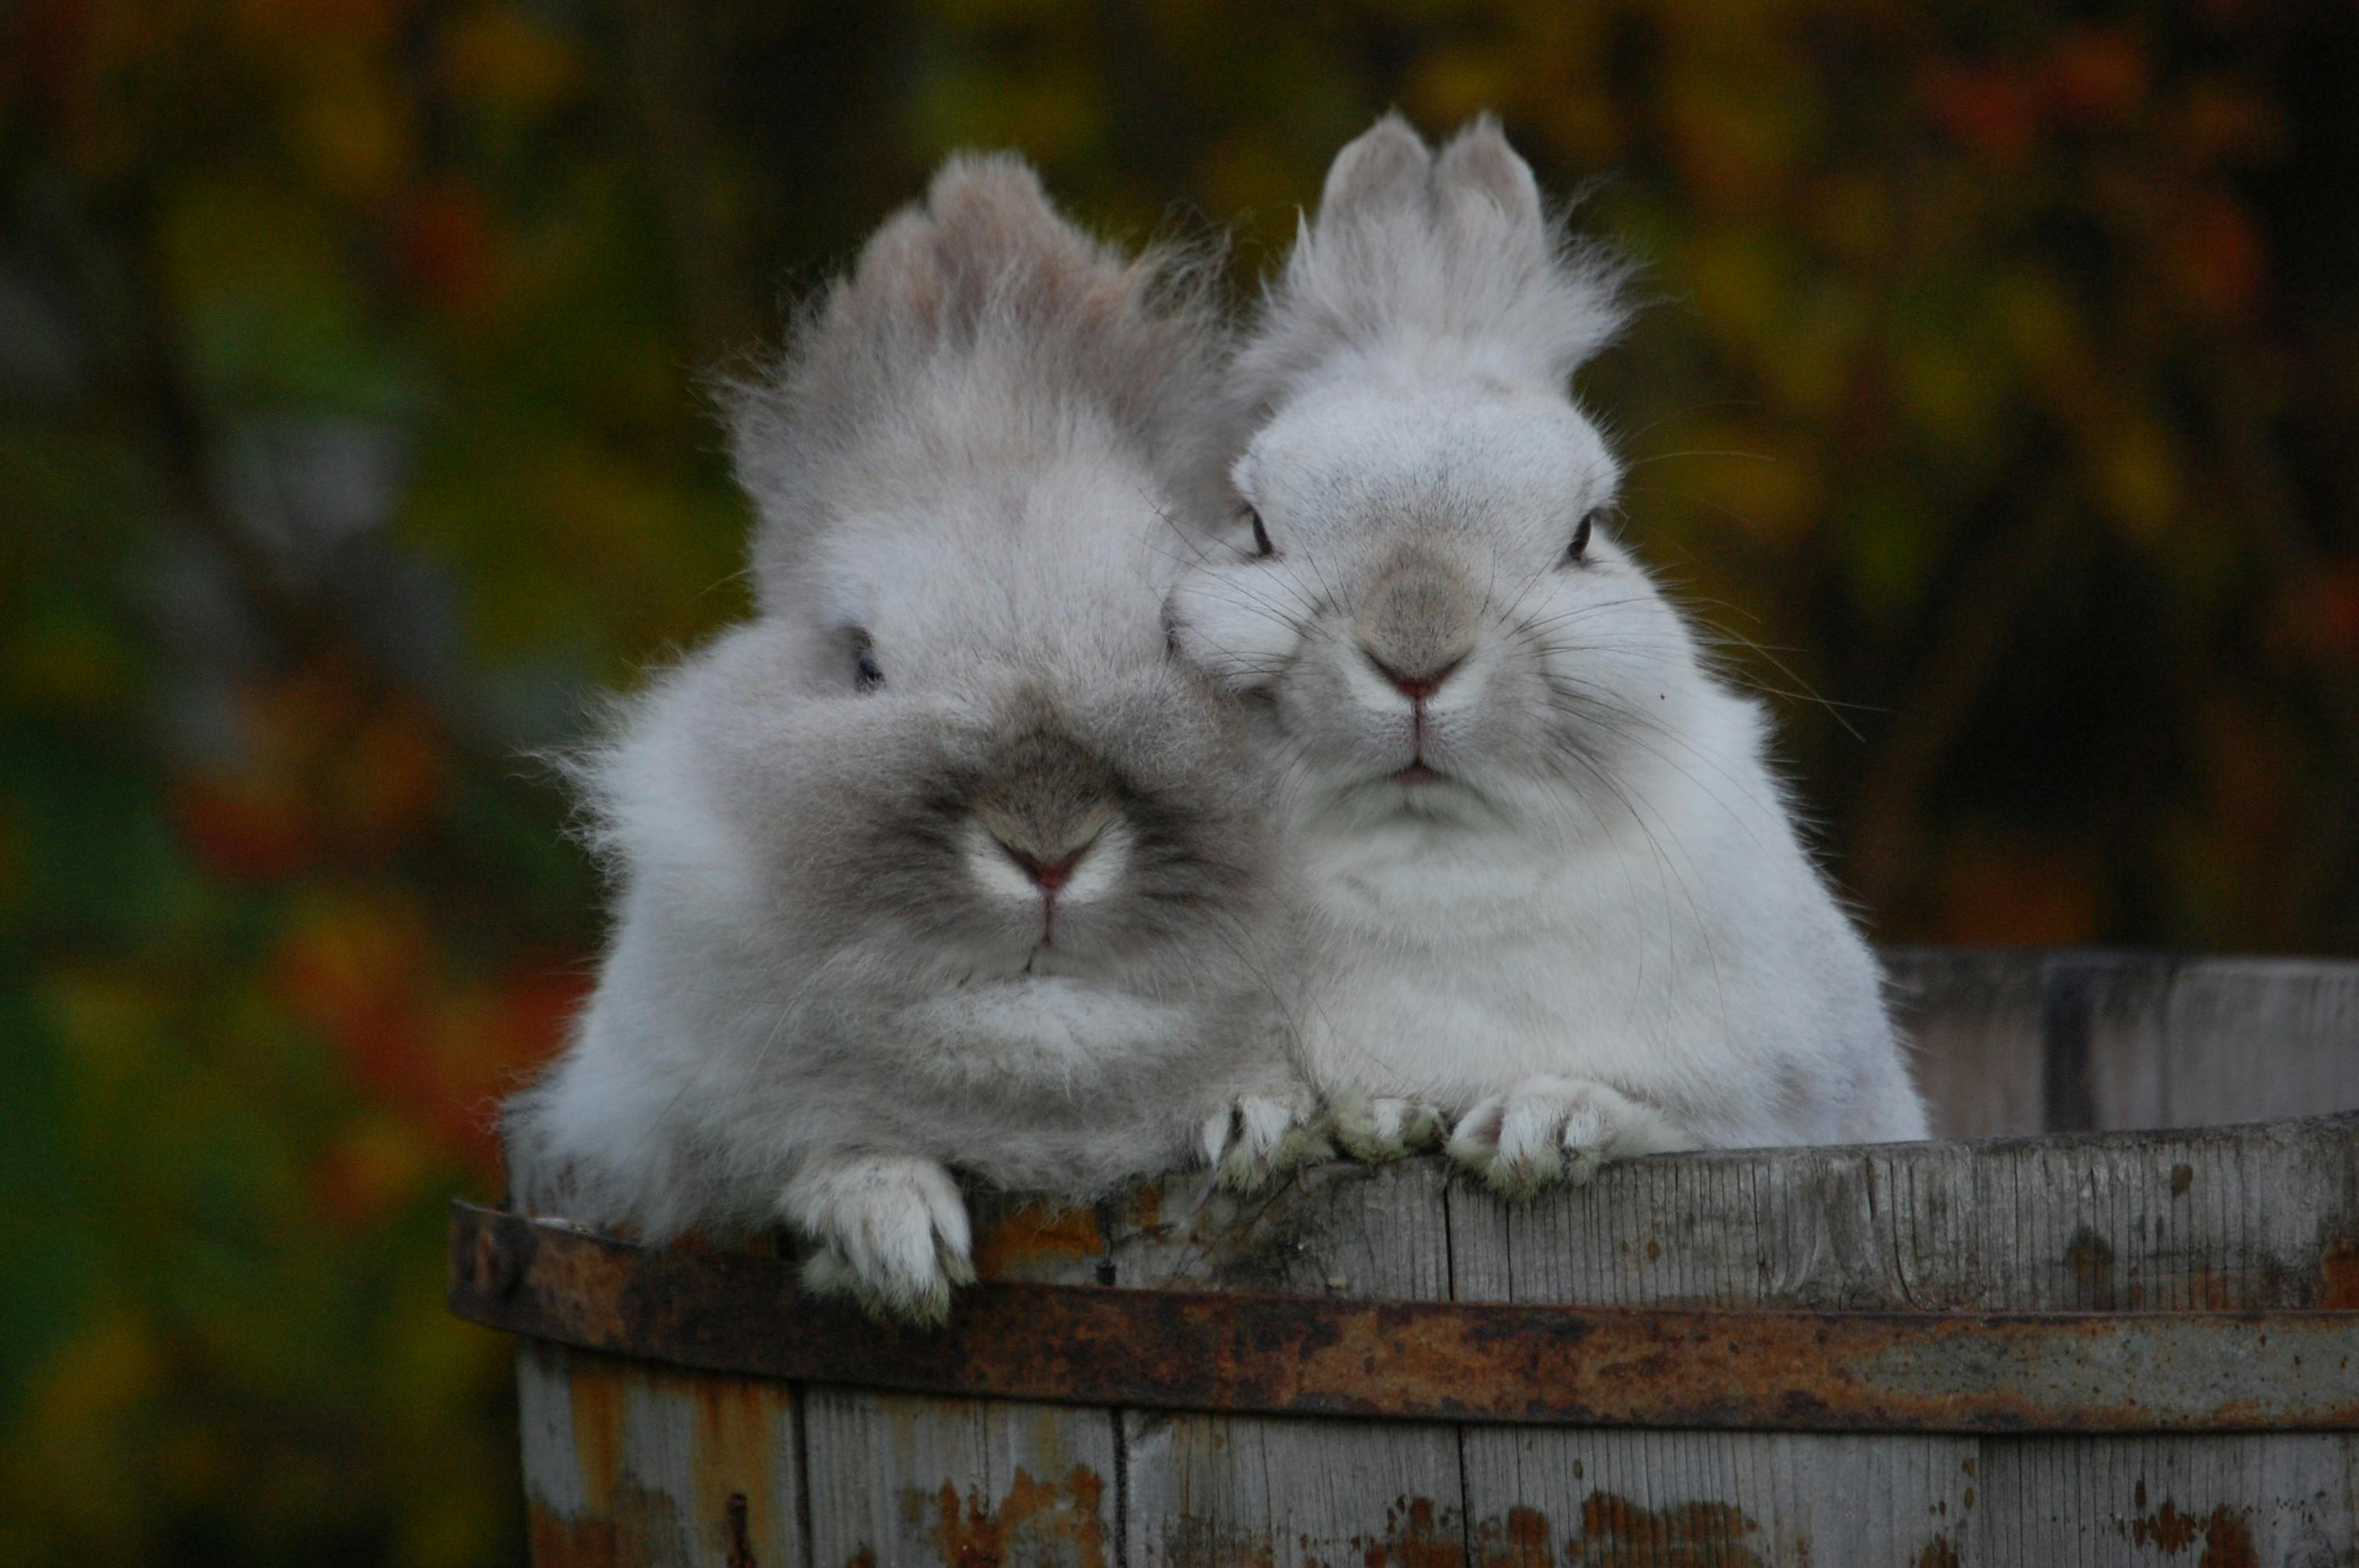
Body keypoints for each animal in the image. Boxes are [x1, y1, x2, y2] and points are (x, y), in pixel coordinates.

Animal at [504, 154, 1322, 1325]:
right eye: (862, 664)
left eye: (1173, 639)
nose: (1045, 847)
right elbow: (817, 1157)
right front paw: (895, 1242)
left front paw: (1259, 1125)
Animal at [1163, 114, 1929, 1197]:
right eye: (1255, 527)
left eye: (1584, 532)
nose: (1416, 653)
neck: (1429, 857)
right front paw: (1263, 1122)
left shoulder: (1788, 1110)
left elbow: (1677, 1122)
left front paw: (1540, 1124)